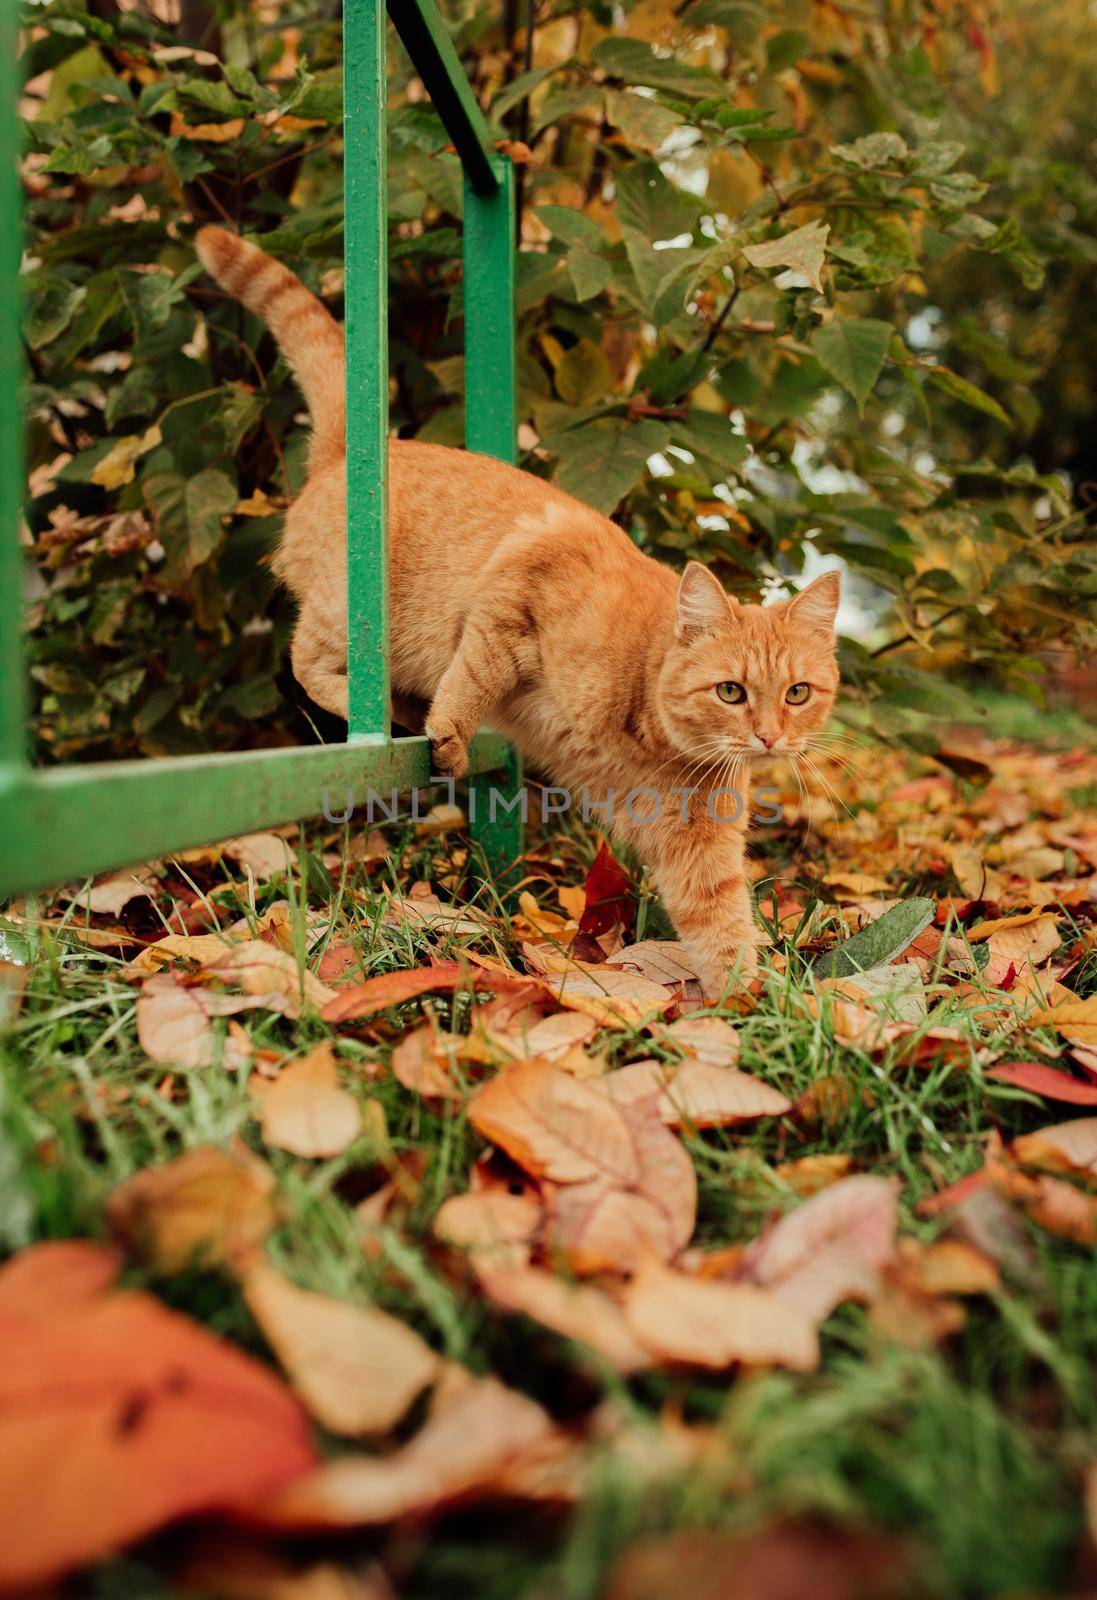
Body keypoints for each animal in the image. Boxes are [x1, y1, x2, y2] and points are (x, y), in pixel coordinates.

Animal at [195, 225, 844, 985]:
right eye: (732, 692)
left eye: (797, 693)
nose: (769, 738)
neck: (649, 727)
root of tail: (346, 456)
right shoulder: (517, 592)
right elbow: (473, 676)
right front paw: (449, 732)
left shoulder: (694, 842)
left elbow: (723, 927)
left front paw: (751, 1000)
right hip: (351, 614)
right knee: (308, 663)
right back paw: (390, 708)